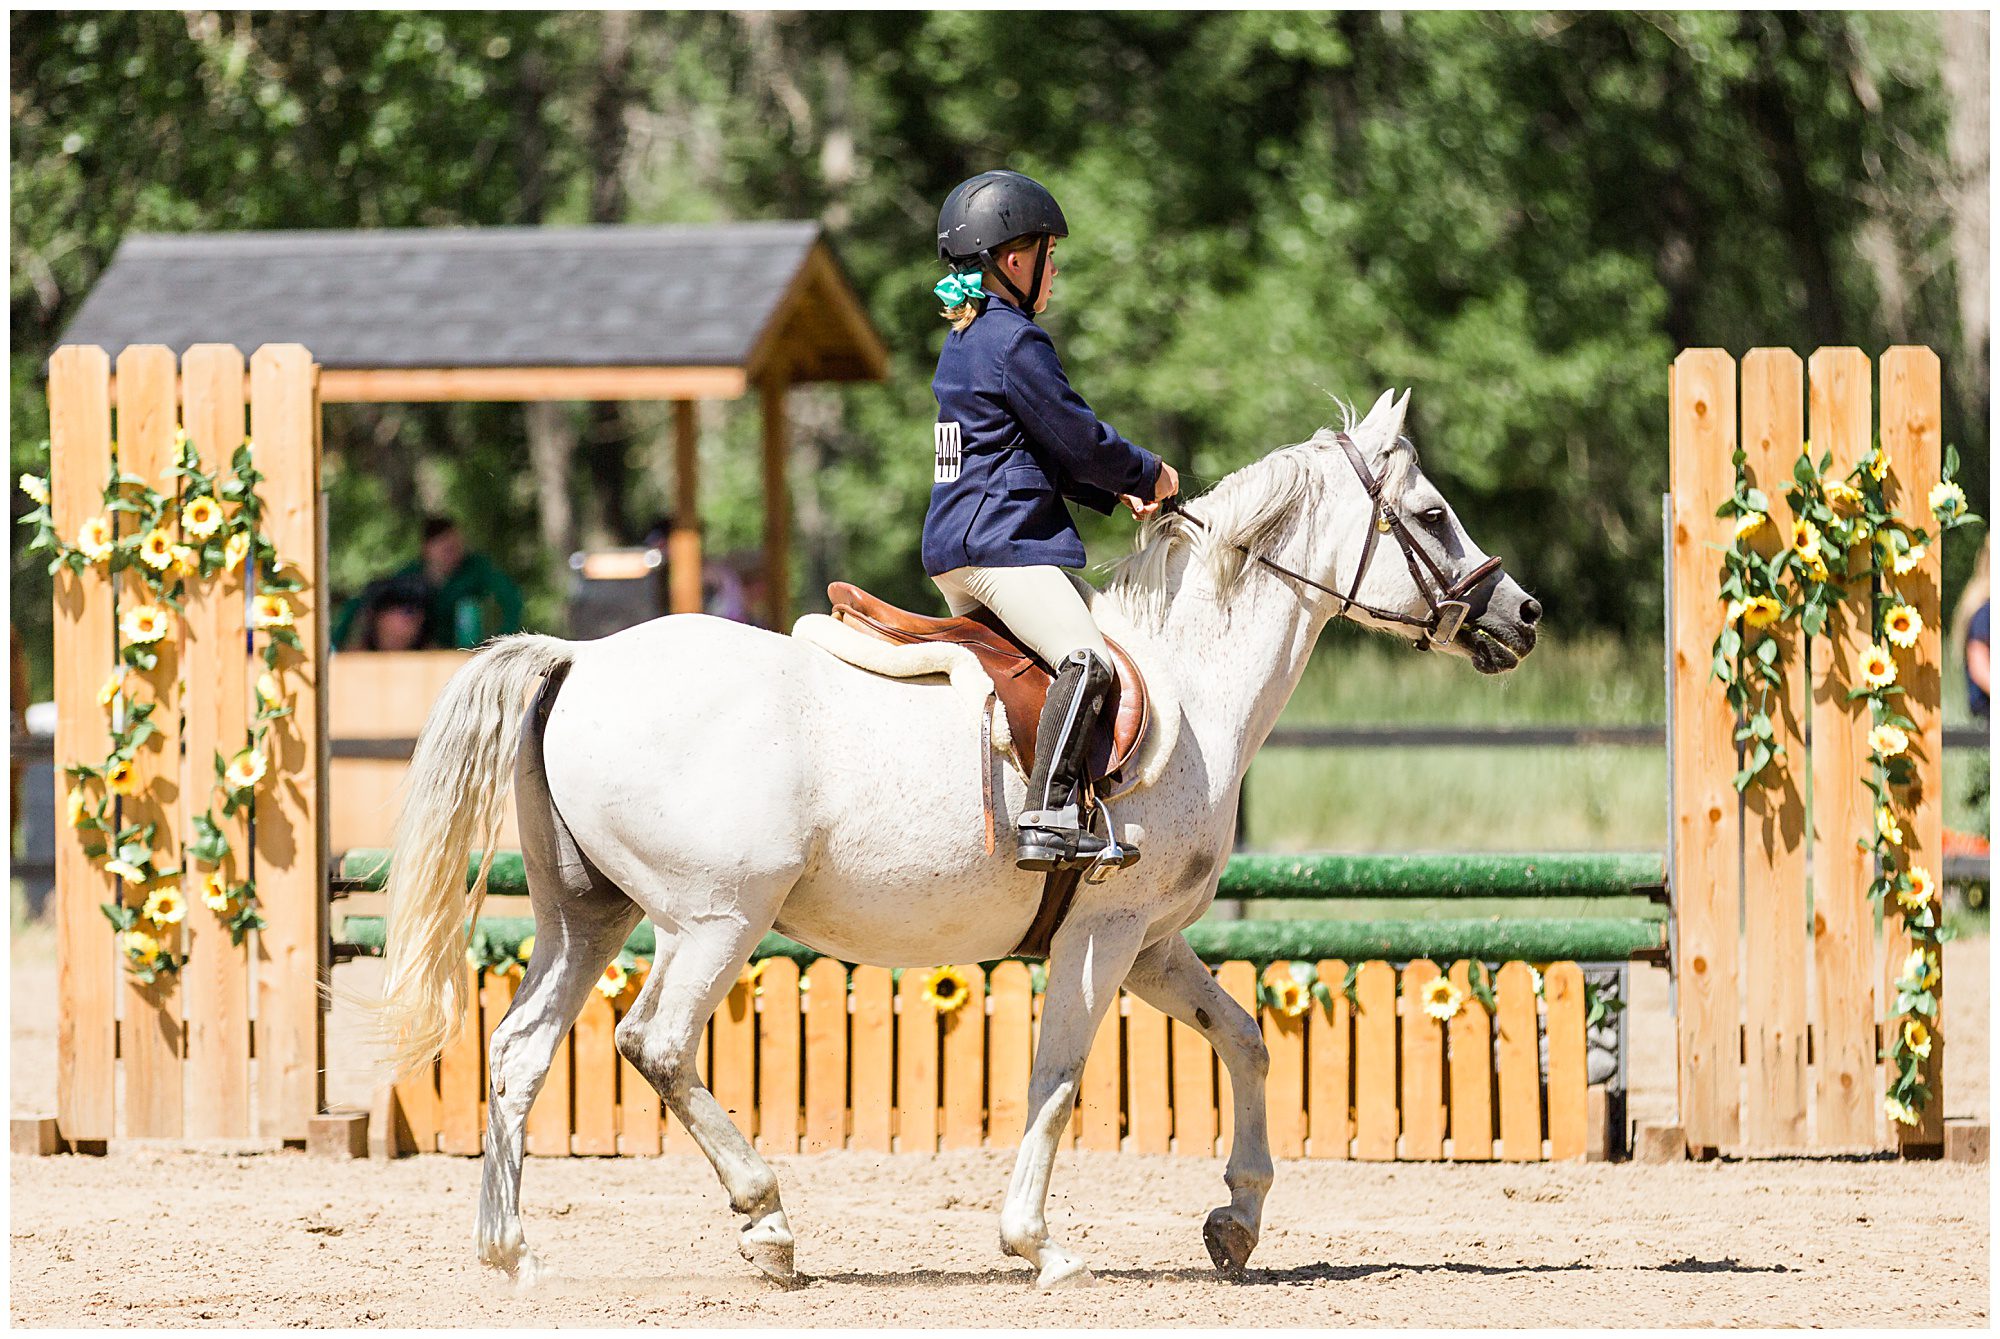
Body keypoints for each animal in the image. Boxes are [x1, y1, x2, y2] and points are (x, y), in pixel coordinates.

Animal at [378, 387, 1544, 1287]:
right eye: (1431, 514)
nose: (1523, 616)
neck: (1192, 679)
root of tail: (580, 656)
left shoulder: (1151, 941)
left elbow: (1245, 1037)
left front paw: (1236, 1221)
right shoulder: (1103, 935)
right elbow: (1060, 1078)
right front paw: (1037, 1245)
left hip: (586, 914)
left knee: (519, 1051)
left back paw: (513, 1253)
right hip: (713, 919)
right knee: (656, 1043)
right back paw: (768, 1223)